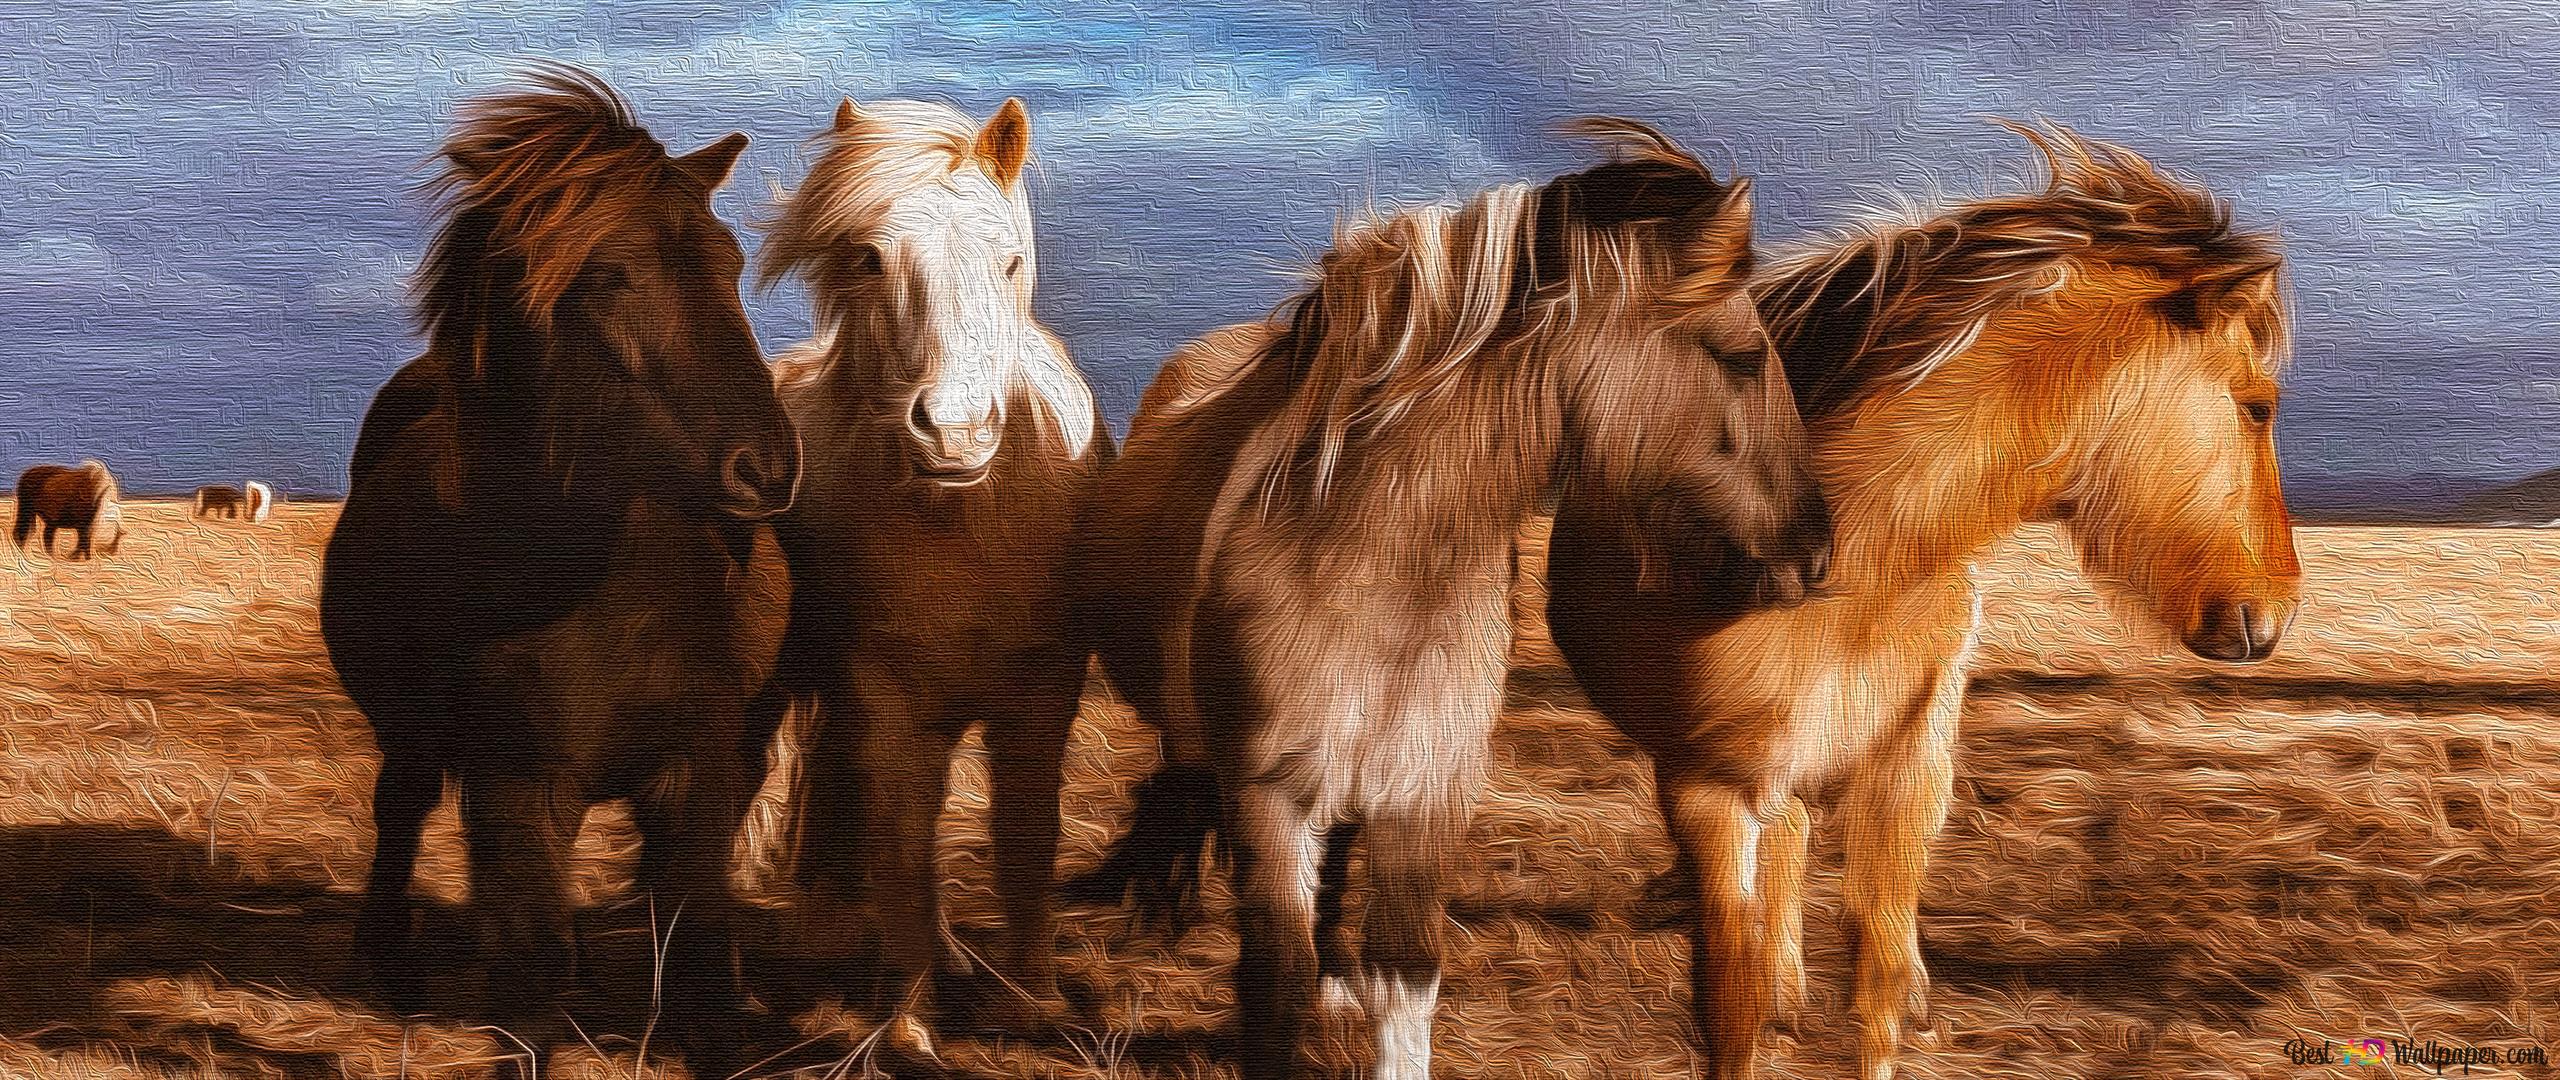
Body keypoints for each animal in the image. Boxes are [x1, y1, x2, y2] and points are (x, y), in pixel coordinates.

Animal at [318, 66, 800, 1074]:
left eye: (731, 264)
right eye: (609, 276)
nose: (768, 469)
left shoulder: (699, 768)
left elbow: (699, 947)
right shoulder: (517, 784)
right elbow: (534, 975)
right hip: (420, 740)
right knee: (401, 806)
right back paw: (388, 959)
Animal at [750, 95, 1109, 1063]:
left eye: (1009, 258)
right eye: (871, 259)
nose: (954, 433)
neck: (968, 524)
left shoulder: (1041, 697)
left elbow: (1025, 837)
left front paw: (1035, 1003)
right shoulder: (889, 701)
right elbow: (904, 845)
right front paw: (907, 1022)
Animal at [1070, 120, 1833, 1080]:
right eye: (1742, 356)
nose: (1816, 549)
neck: (1377, 569)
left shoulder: (1426, 793)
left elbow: (1405, 977)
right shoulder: (1270, 798)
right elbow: (1274, 983)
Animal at [1543, 122, 2302, 1079]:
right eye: (2257, 407)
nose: (2277, 610)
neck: (1851, 565)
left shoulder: (1909, 761)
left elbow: (1874, 970)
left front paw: (1891, 1007)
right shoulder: (1707, 790)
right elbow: (1730, 996)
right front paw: (1766, 1005)